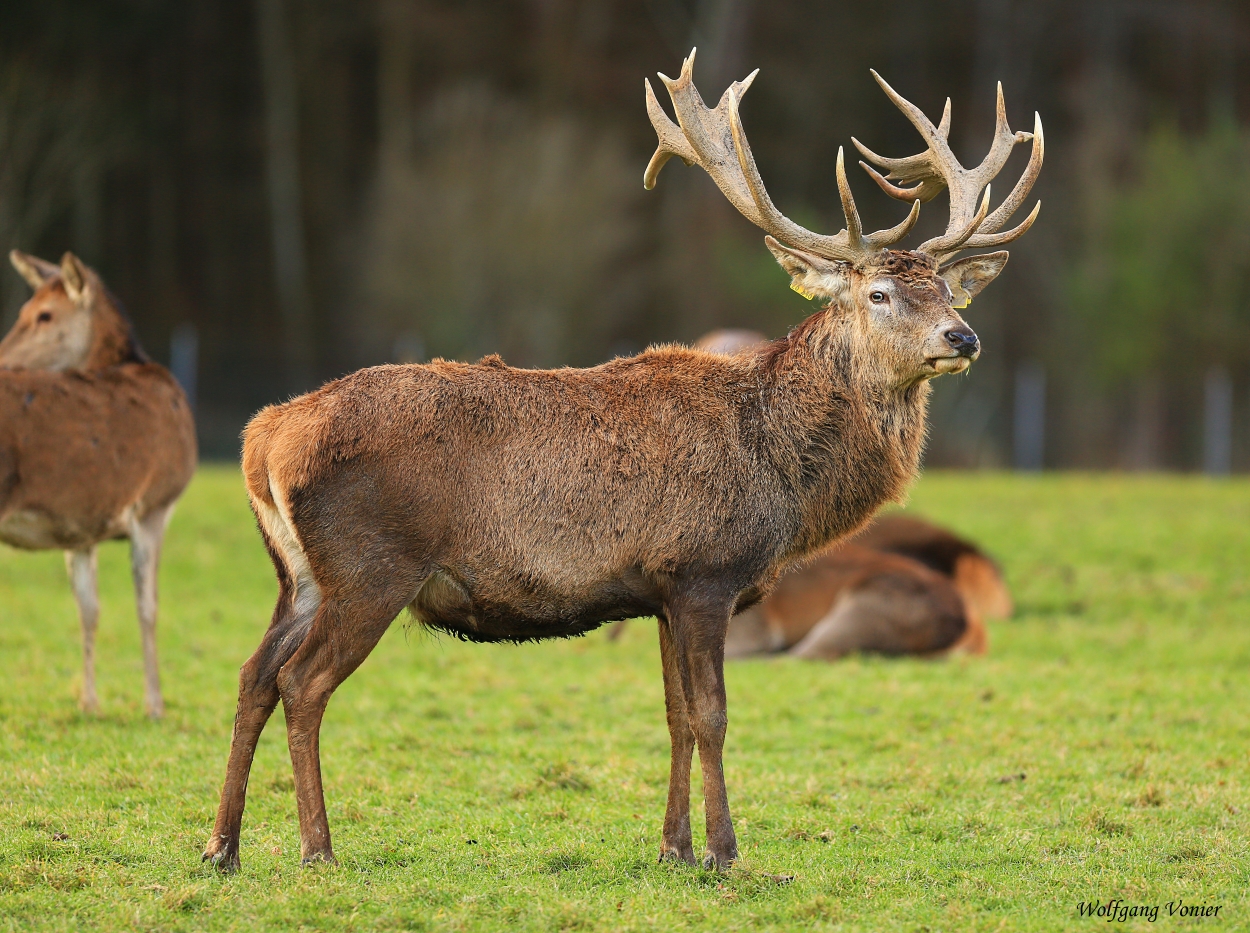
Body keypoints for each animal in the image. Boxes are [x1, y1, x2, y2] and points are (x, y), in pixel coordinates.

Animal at [0, 251, 196, 715]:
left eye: (44, 314)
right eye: (24, 311)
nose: (1, 357)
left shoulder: (80, 525)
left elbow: (88, 608)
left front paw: (89, 703)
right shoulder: (156, 502)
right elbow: (149, 607)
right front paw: (155, 705)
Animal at [207, 50, 1045, 870]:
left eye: (946, 289)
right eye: (878, 294)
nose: (963, 338)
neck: (781, 470)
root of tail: (264, 437)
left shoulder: (661, 589)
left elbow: (673, 715)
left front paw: (674, 846)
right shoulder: (705, 570)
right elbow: (712, 714)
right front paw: (725, 851)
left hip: (298, 573)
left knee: (253, 675)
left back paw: (222, 845)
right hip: (372, 565)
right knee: (303, 682)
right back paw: (317, 847)